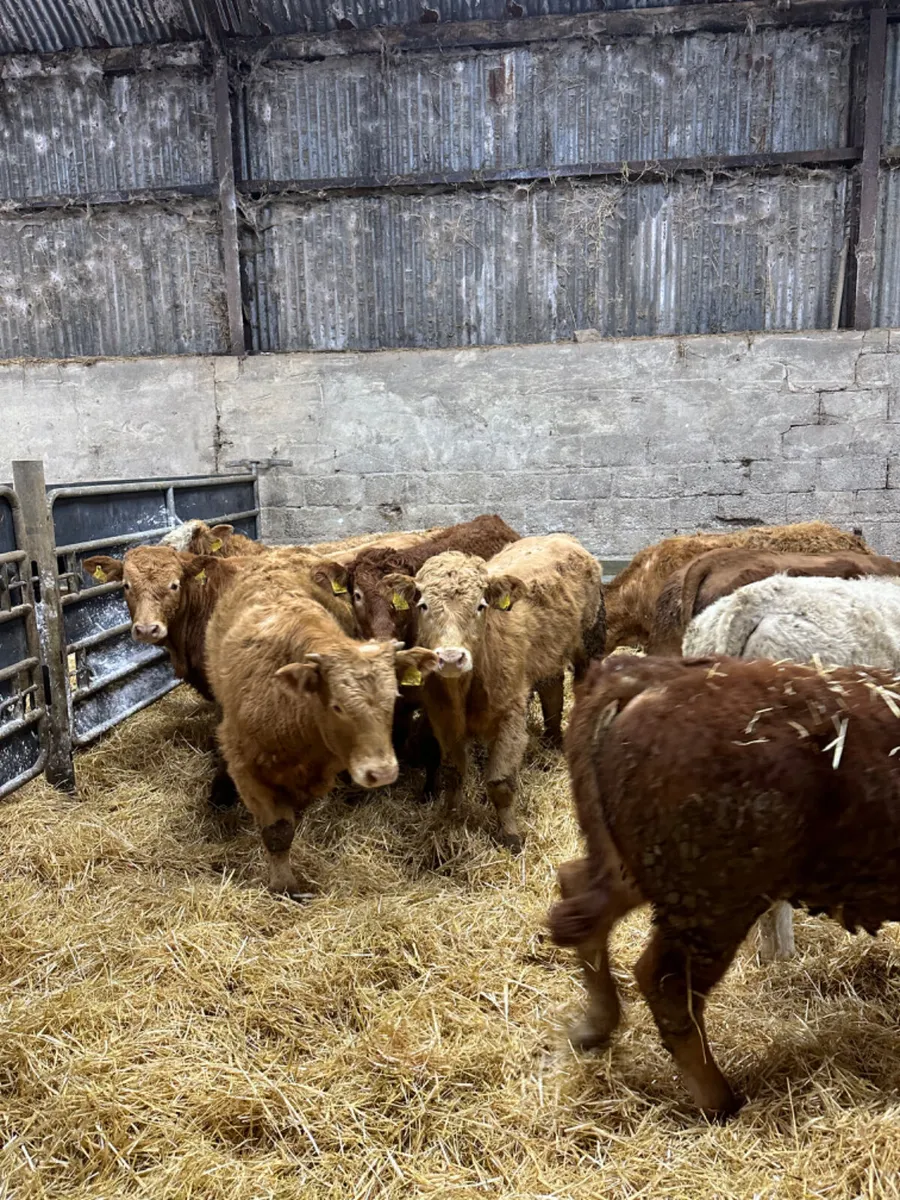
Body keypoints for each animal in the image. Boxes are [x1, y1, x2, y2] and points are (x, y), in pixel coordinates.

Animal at [205, 560, 438, 895]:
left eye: (393, 697)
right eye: (338, 706)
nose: (381, 772)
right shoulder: (247, 769)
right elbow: (278, 831)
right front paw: (284, 886)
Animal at [385, 534, 605, 851]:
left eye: (481, 605)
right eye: (423, 605)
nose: (450, 658)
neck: (465, 690)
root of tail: (562, 537)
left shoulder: (510, 717)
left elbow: (499, 783)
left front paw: (511, 836)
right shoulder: (444, 721)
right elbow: (453, 773)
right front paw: (450, 819)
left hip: (590, 642)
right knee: (552, 692)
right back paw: (552, 740)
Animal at [549, 653, 900, 1117]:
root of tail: (648, 676)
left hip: (639, 871)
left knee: (578, 900)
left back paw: (593, 1027)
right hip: (716, 904)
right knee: (667, 982)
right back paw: (720, 1101)